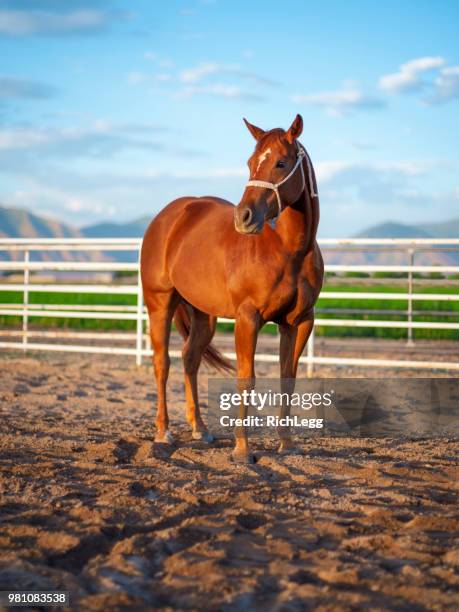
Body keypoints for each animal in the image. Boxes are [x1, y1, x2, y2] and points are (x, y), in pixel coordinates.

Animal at [140, 115, 324, 462]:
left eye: (281, 163)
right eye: (251, 163)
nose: (244, 217)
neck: (288, 249)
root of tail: (169, 217)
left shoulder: (299, 321)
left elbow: (288, 380)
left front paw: (287, 443)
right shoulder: (248, 318)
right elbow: (246, 379)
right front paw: (242, 448)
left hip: (203, 315)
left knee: (189, 358)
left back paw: (200, 428)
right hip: (160, 303)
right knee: (162, 363)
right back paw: (163, 432)